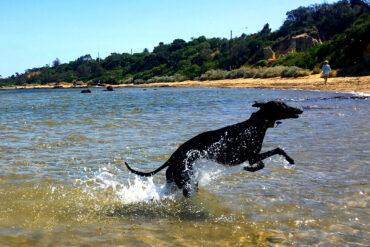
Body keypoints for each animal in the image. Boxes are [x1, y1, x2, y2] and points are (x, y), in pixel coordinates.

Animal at [125, 100, 302, 197]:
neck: (255, 125)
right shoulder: (251, 156)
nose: (299, 109)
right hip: (186, 180)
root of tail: (172, 158)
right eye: (281, 106)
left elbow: (264, 162)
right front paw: (290, 160)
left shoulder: (251, 157)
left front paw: (250, 169)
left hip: (176, 180)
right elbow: (277, 150)